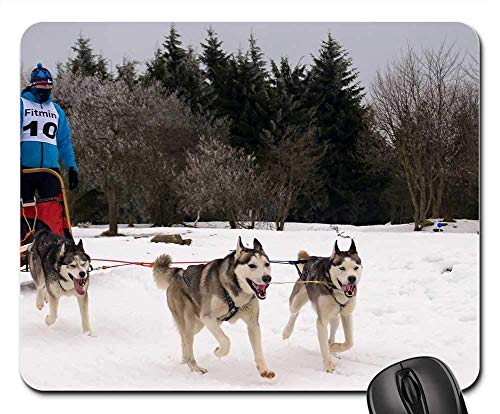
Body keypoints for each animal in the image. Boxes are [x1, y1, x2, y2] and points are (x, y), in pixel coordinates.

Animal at [154, 236, 276, 378]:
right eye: (252, 265)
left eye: (267, 264)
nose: (267, 278)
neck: (235, 294)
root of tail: (178, 272)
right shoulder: (208, 317)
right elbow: (225, 340)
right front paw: (218, 352)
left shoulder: (252, 323)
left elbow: (258, 349)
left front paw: (264, 369)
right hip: (191, 322)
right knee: (187, 341)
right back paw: (194, 367)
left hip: (197, 325)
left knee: (183, 338)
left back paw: (185, 360)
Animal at [282, 239, 364, 372]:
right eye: (342, 268)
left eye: (355, 267)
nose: (352, 278)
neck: (335, 289)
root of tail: (310, 259)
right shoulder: (321, 320)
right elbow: (324, 344)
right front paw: (328, 365)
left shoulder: (346, 314)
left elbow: (349, 342)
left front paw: (334, 347)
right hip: (296, 301)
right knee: (295, 312)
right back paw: (287, 332)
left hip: (335, 317)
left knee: (332, 332)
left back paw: (333, 347)